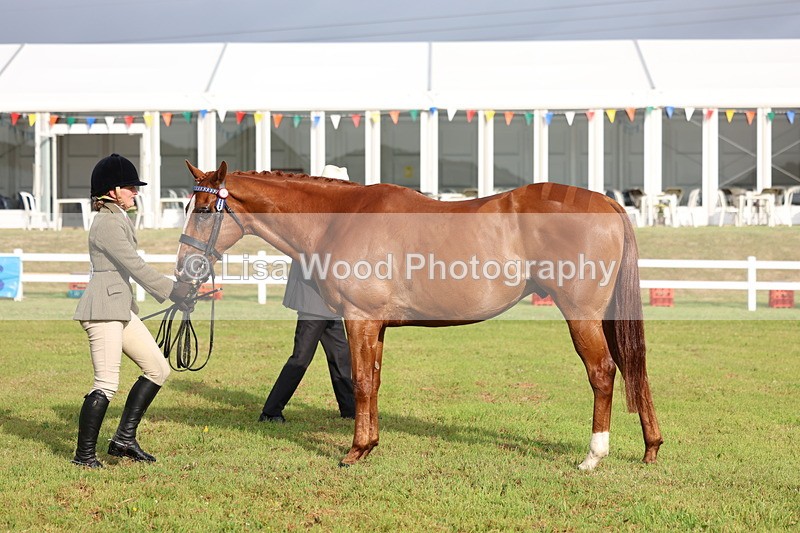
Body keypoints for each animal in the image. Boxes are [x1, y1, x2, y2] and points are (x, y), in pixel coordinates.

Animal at [175, 160, 662, 470]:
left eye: (205, 210)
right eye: (187, 206)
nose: (185, 269)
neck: (340, 219)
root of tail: (608, 203)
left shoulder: (360, 319)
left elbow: (362, 380)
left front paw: (355, 451)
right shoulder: (375, 326)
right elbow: (371, 381)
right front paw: (369, 444)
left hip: (581, 315)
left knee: (603, 372)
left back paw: (593, 457)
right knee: (634, 369)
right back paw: (651, 446)